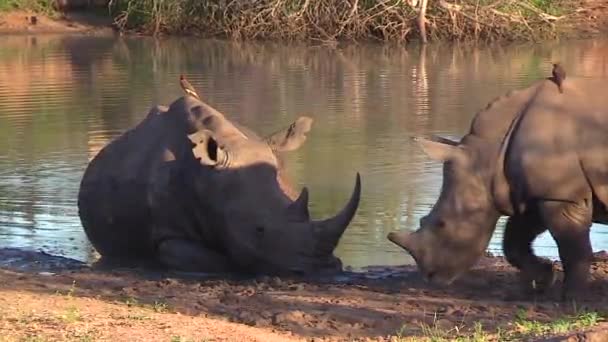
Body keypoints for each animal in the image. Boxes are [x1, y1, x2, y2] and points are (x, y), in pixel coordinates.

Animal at [390, 75, 608, 300]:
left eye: (442, 224)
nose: (430, 278)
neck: (488, 157)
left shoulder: (560, 194)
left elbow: (572, 249)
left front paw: (571, 297)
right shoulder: (532, 193)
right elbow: (513, 244)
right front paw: (543, 280)